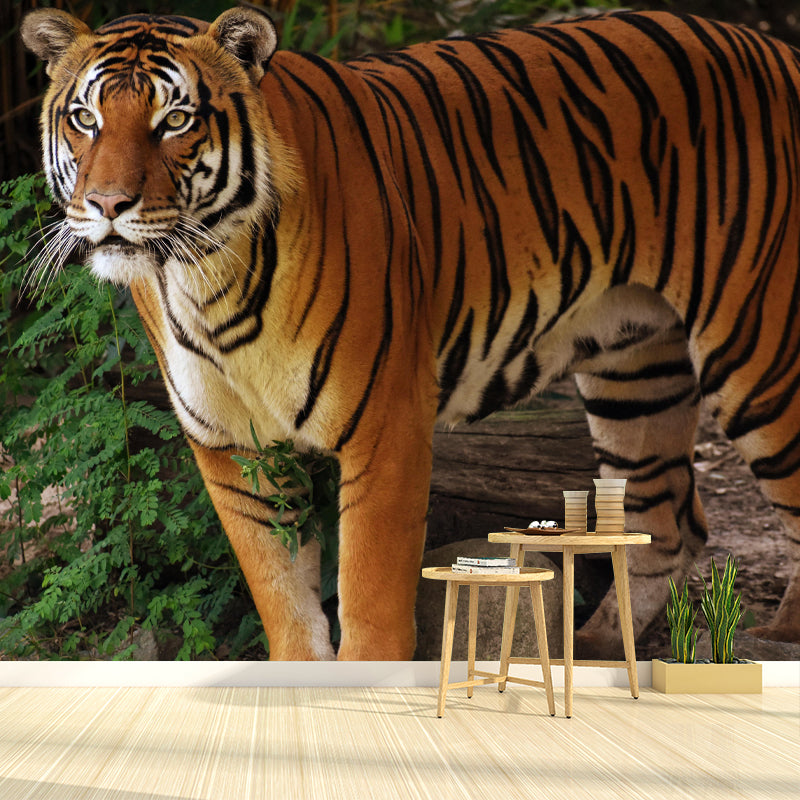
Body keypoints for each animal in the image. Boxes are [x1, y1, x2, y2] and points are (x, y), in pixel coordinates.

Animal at [21, 6, 800, 660]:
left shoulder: (386, 426)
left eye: (176, 119)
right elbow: (284, 599)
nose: (107, 204)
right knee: (666, 519)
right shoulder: (234, 448)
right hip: (633, 366)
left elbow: (371, 598)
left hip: (761, 357)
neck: (205, 277)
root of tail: (777, 48)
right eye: (85, 117)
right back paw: (599, 650)